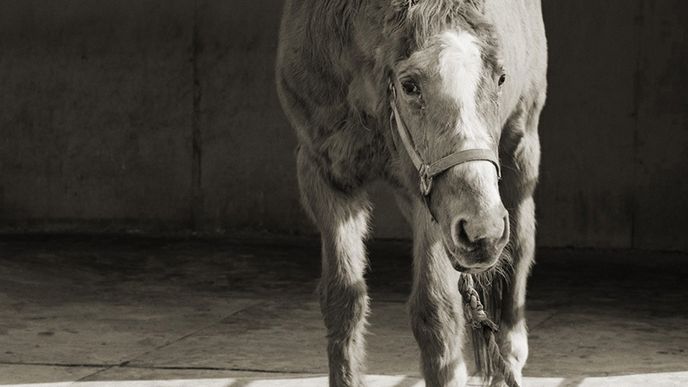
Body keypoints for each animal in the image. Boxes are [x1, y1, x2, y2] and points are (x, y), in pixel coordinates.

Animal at [276, 1, 544, 386]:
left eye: (501, 78)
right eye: (409, 85)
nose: (484, 230)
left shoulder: (432, 205)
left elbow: (436, 312)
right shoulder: (325, 177)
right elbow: (343, 301)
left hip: (520, 150)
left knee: (519, 254)